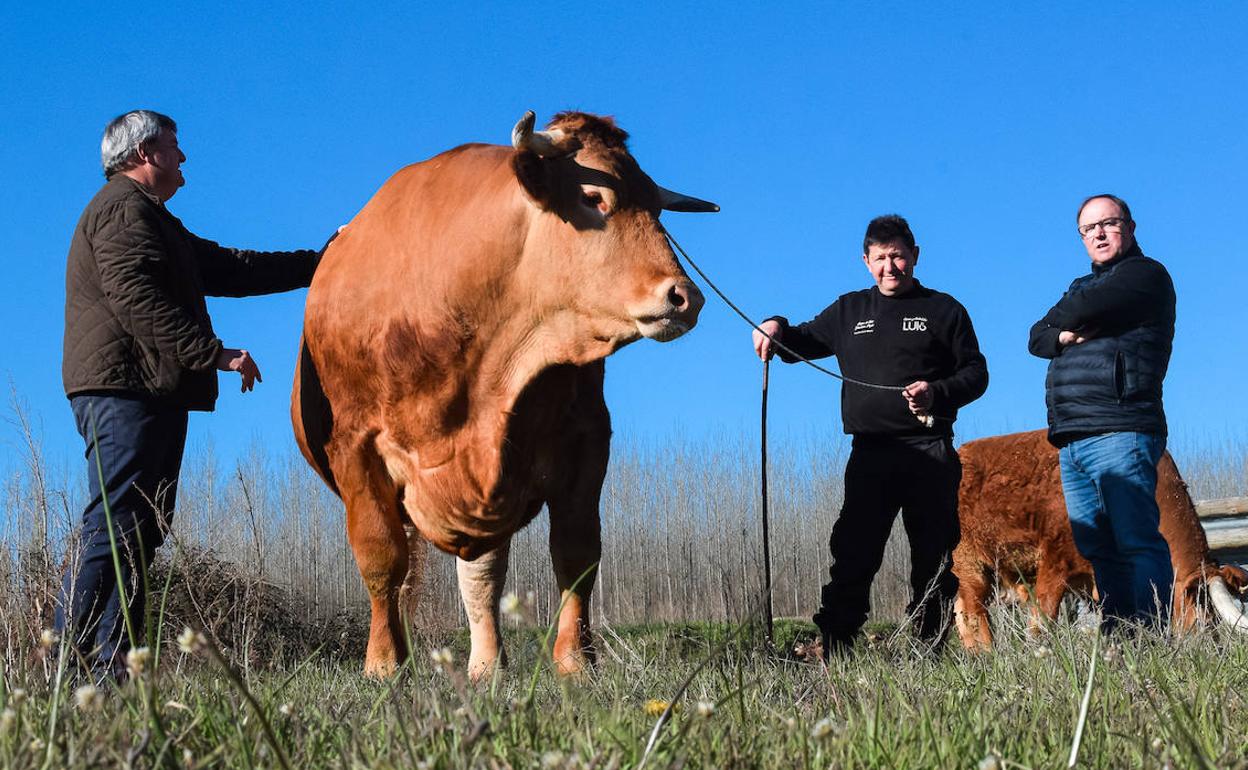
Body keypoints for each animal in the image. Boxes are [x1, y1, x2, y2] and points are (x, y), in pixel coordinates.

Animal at [293, 111, 718, 673]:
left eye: (656, 207)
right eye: (594, 196)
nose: (685, 297)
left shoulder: (587, 436)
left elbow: (577, 552)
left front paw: (576, 660)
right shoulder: (355, 446)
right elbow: (381, 558)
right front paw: (384, 664)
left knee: (482, 577)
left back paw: (488, 665)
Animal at [948, 429, 1243, 643]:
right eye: (1201, 610)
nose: (1210, 645)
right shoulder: (1055, 563)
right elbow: (1041, 623)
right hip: (968, 565)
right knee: (972, 615)